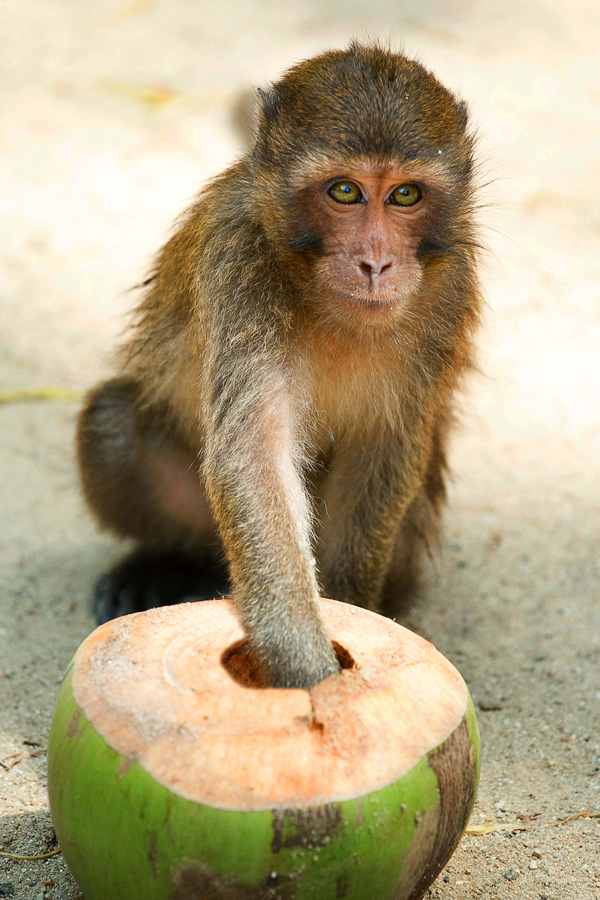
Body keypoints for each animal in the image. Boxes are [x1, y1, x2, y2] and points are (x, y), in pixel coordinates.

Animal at [78, 40, 482, 688]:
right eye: (344, 192)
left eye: (405, 195)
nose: (376, 264)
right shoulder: (238, 261)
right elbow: (254, 455)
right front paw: (307, 667)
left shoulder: (451, 286)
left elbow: (384, 449)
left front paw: (352, 618)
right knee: (112, 424)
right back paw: (161, 563)